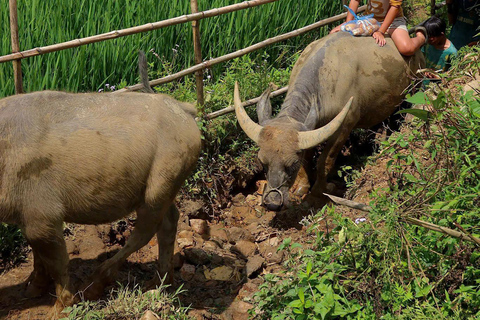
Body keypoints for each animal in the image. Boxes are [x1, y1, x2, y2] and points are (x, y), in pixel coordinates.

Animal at [0, 51, 201, 316]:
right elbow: (38, 256)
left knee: (146, 230)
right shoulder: (29, 218)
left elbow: (57, 263)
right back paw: (160, 281)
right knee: (169, 222)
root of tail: (181, 109)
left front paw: (61, 307)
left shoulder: (43, 219)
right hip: (166, 188)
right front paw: (33, 288)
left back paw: (98, 282)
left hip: (159, 187)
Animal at [234, 31, 426, 210]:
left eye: (292, 164)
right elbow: (307, 158)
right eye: (262, 162)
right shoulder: (312, 128)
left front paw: (318, 192)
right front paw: (302, 187)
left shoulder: (345, 125)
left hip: (410, 93)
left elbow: (324, 161)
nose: (273, 203)